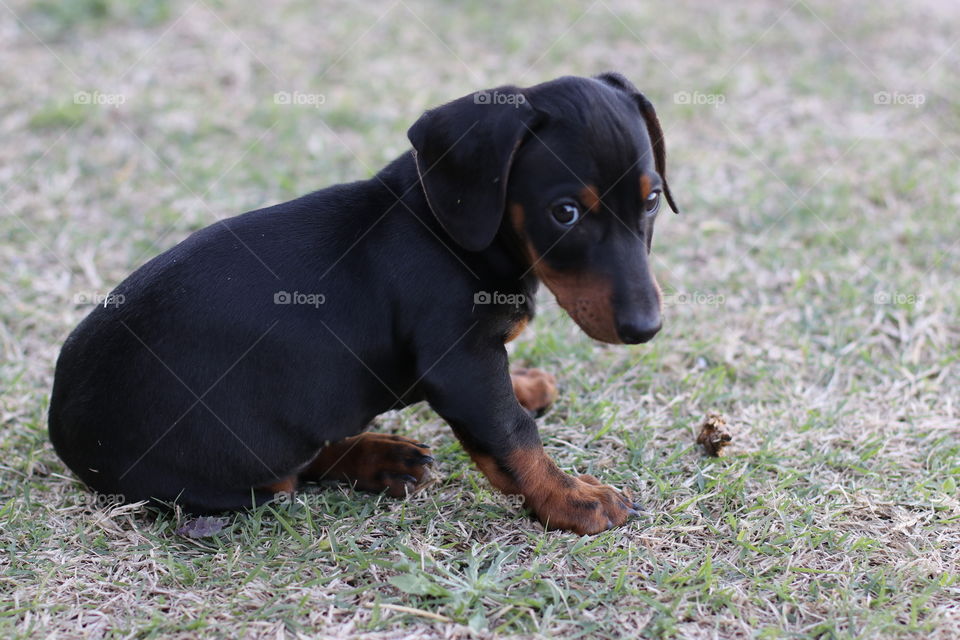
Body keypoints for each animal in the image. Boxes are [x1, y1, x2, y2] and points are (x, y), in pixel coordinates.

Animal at [48, 74, 680, 536]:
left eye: (651, 200)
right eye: (565, 213)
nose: (646, 328)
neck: (445, 232)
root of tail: (63, 425)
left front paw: (525, 382)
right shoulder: (461, 363)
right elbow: (512, 433)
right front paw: (574, 499)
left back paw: (386, 458)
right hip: (237, 460)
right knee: (290, 475)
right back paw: (376, 457)